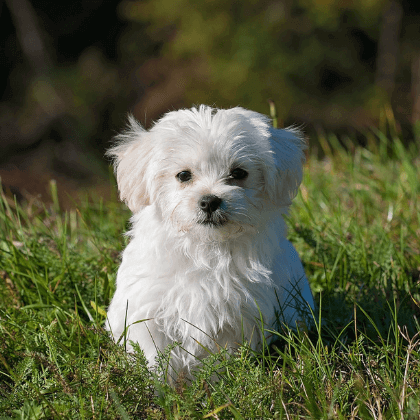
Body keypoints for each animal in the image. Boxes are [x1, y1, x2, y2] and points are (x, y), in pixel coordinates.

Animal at [106, 105, 314, 378]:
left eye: (239, 173)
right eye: (183, 175)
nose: (209, 201)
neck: (206, 248)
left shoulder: (238, 316)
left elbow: (222, 358)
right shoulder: (147, 310)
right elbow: (154, 356)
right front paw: (159, 385)